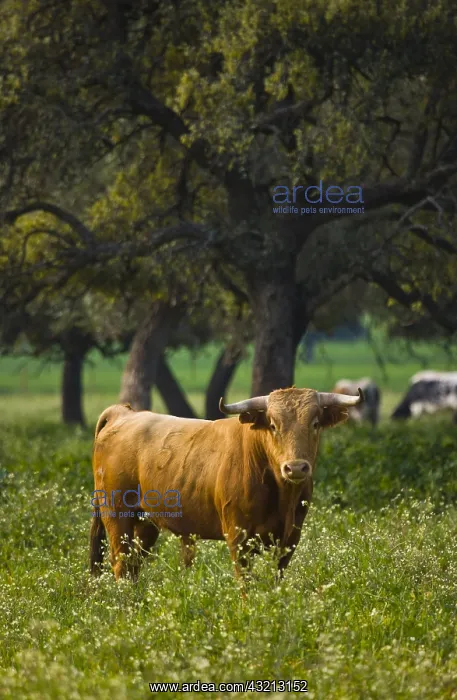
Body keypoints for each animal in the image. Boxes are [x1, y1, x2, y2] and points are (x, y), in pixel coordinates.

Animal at [89, 387, 363, 582]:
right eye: (273, 425)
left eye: (315, 424)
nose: (296, 467)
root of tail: (125, 413)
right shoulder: (238, 538)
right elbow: (245, 583)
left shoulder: (290, 540)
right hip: (117, 516)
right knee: (121, 564)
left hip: (146, 523)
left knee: (134, 565)